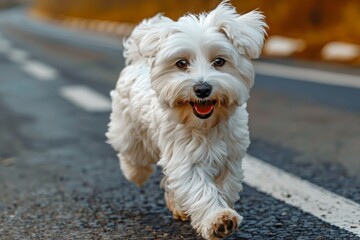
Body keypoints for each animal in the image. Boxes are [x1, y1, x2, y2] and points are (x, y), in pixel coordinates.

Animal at [105, 1, 266, 238]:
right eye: (181, 63)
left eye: (219, 61)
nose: (202, 88)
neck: (206, 125)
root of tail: (138, 60)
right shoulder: (186, 159)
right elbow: (200, 190)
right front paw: (218, 220)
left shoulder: (230, 159)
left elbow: (223, 187)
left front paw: (221, 215)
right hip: (128, 129)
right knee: (132, 154)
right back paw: (136, 172)